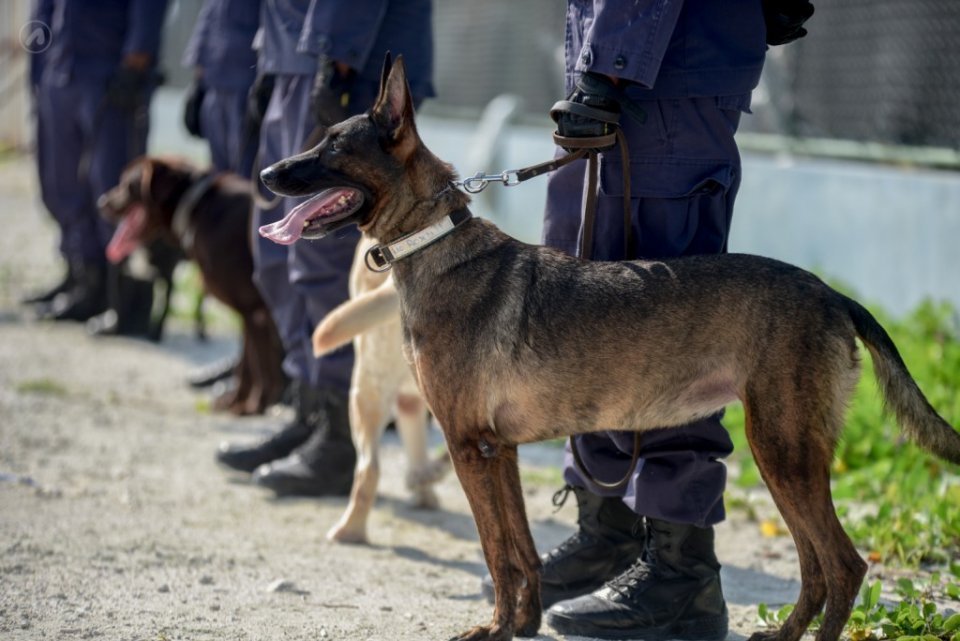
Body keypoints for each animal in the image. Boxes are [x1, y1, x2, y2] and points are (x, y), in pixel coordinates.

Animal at [103, 156, 288, 416]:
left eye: (128, 184)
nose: (101, 202)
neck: (200, 206)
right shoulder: (253, 313)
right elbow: (248, 363)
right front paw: (240, 401)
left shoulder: (254, 309)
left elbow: (258, 364)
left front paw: (253, 405)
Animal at [316, 232, 450, 544]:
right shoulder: (411, 402)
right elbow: (418, 446)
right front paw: (424, 484)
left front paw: (422, 482)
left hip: (364, 395)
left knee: (368, 470)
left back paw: (348, 531)